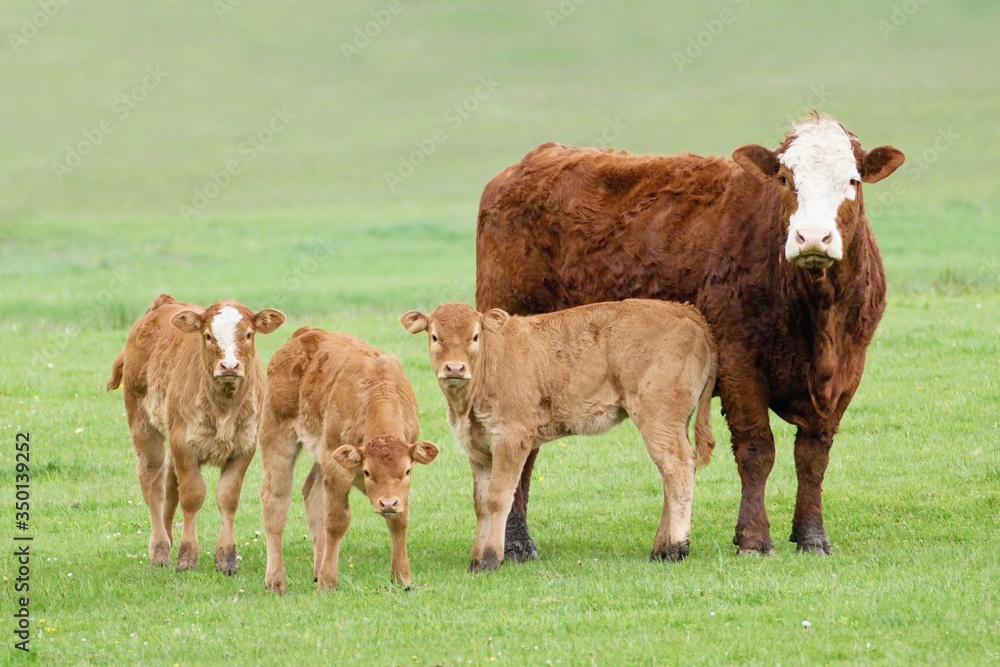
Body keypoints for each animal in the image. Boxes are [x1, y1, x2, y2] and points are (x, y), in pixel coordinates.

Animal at [106, 294, 286, 576]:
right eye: (208, 335)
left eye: (248, 334)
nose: (229, 365)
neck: (224, 406)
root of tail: (164, 302)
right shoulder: (184, 444)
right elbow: (192, 496)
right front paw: (187, 555)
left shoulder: (245, 446)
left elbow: (227, 497)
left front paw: (226, 557)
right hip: (143, 425)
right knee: (153, 483)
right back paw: (160, 549)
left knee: (169, 485)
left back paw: (168, 538)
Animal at [260, 328, 440, 596]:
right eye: (367, 472)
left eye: (407, 470)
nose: (387, 503)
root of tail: (305, 333)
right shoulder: (336, 470)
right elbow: (336, 522)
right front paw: (328, 581)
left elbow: (399, 521)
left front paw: (402, 577)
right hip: (277, 436)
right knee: (275, 503)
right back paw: (275, 581)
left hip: (320, 453)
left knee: (311, 491)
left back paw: (317, 568)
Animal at [400, 300, 720, 572]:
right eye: (435, 336)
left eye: (475, 336)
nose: (455, 368)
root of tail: (682, 310)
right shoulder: (478, 449)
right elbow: (480, 504)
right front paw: (476, 558)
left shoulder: (511, 437)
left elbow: (498, 498)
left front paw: (491, 559)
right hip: (673, 422)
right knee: (672, 474)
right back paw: (661, 547)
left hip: (658, 417)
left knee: (677, 467)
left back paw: (675, 549)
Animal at [476, 113, 908, 560]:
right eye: (786, 178)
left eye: (853, 180)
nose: (812, 237)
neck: (818, 317)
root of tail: (531, 163)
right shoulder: (739, 362)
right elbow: (757, 450)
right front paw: (754, 538)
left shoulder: (847, 371)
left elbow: (813, 456)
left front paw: (811, 535)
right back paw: (516, 542)